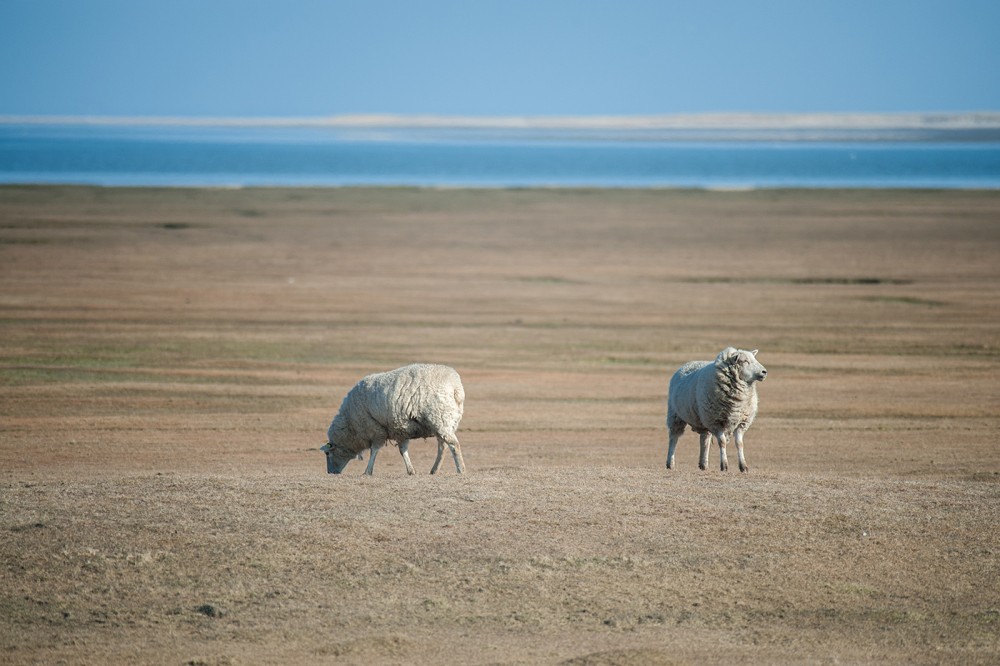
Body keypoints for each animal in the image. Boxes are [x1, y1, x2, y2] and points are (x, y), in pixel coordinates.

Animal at [320, 360, 468, 474]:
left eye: (327, 453)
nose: (330, 472)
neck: (350, 425)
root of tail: (455, 386)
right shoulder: (401, 430)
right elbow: (403, 451)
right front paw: (410, 470)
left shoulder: (376, 429)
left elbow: (374, 450)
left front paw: (367, 471)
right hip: (444, 422)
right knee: (443, 447)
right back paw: (434, 470)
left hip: (439, 418)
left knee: (453, 445)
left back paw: (461, 469)